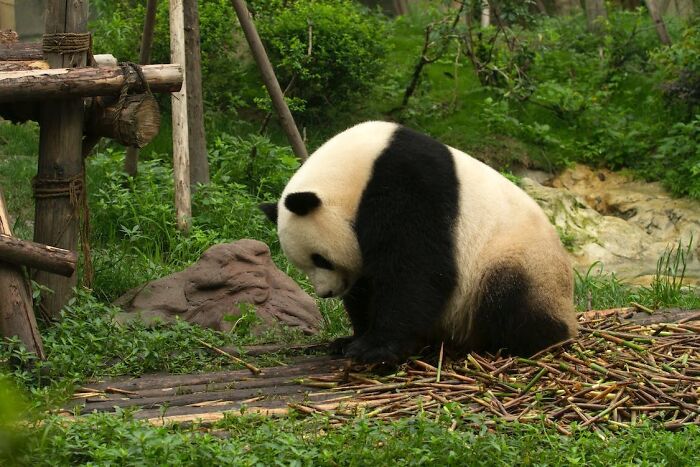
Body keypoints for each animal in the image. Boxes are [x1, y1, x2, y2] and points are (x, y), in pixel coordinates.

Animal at [260, 121, 578, 364]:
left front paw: (374, 349)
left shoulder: (408, 184)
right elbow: (367, 284)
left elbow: (416, 270)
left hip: (522, 262)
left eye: (320, 259)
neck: (356, 169)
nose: (326, 293)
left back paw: (525, 341)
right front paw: (350, 340)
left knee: (510, 297)